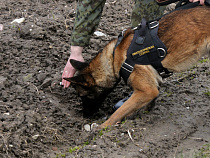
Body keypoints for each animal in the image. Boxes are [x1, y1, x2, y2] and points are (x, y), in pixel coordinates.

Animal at [63, 6, 208, 130]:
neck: (114, 58)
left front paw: (103, 127)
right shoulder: (151, 86)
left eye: (83, 96)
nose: (85, 116)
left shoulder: (147, 90)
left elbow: (119, 111)